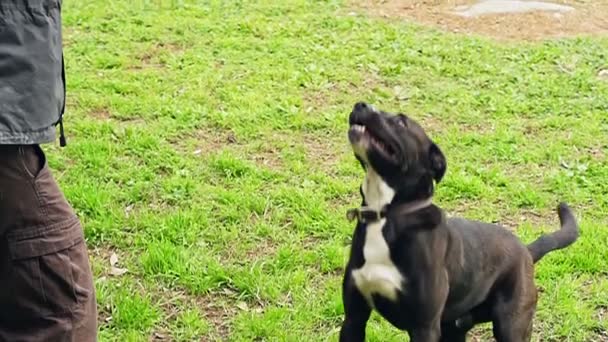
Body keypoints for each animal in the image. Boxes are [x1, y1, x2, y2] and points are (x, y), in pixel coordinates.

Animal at [340, 102, 580, 342]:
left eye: (400, 121)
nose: (360, 104)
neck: (386, 214)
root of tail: (526, 251)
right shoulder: (354, 318)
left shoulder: (424, 327)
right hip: (455, 328)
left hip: (511, 325)